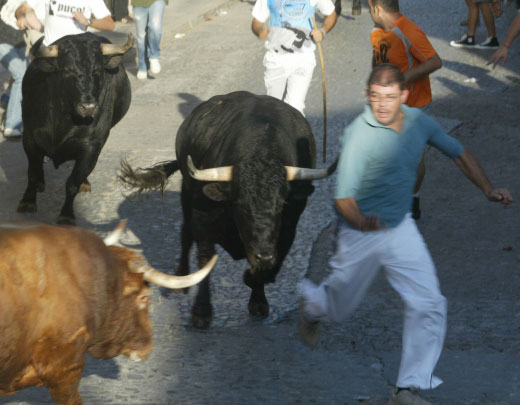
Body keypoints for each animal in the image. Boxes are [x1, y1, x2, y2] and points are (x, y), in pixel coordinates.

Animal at [18, 33, 134, 224]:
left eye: (97, 71)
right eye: (67, 71)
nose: (88, 107)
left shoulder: (91, 147)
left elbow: (72, 182)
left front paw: (66, 215)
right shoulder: (29, 138)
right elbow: (32, 172)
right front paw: (27, 202)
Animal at [119, 91, 336, 328]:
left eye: (281, 204)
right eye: (241, 204)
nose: (263, 256)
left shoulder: (289, 228)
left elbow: (272, 266)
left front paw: (257, 296)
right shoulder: (203, 218)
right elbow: (205, 258)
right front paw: (201, 311)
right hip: (187, 194)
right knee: (185, 235)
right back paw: (181, 278)